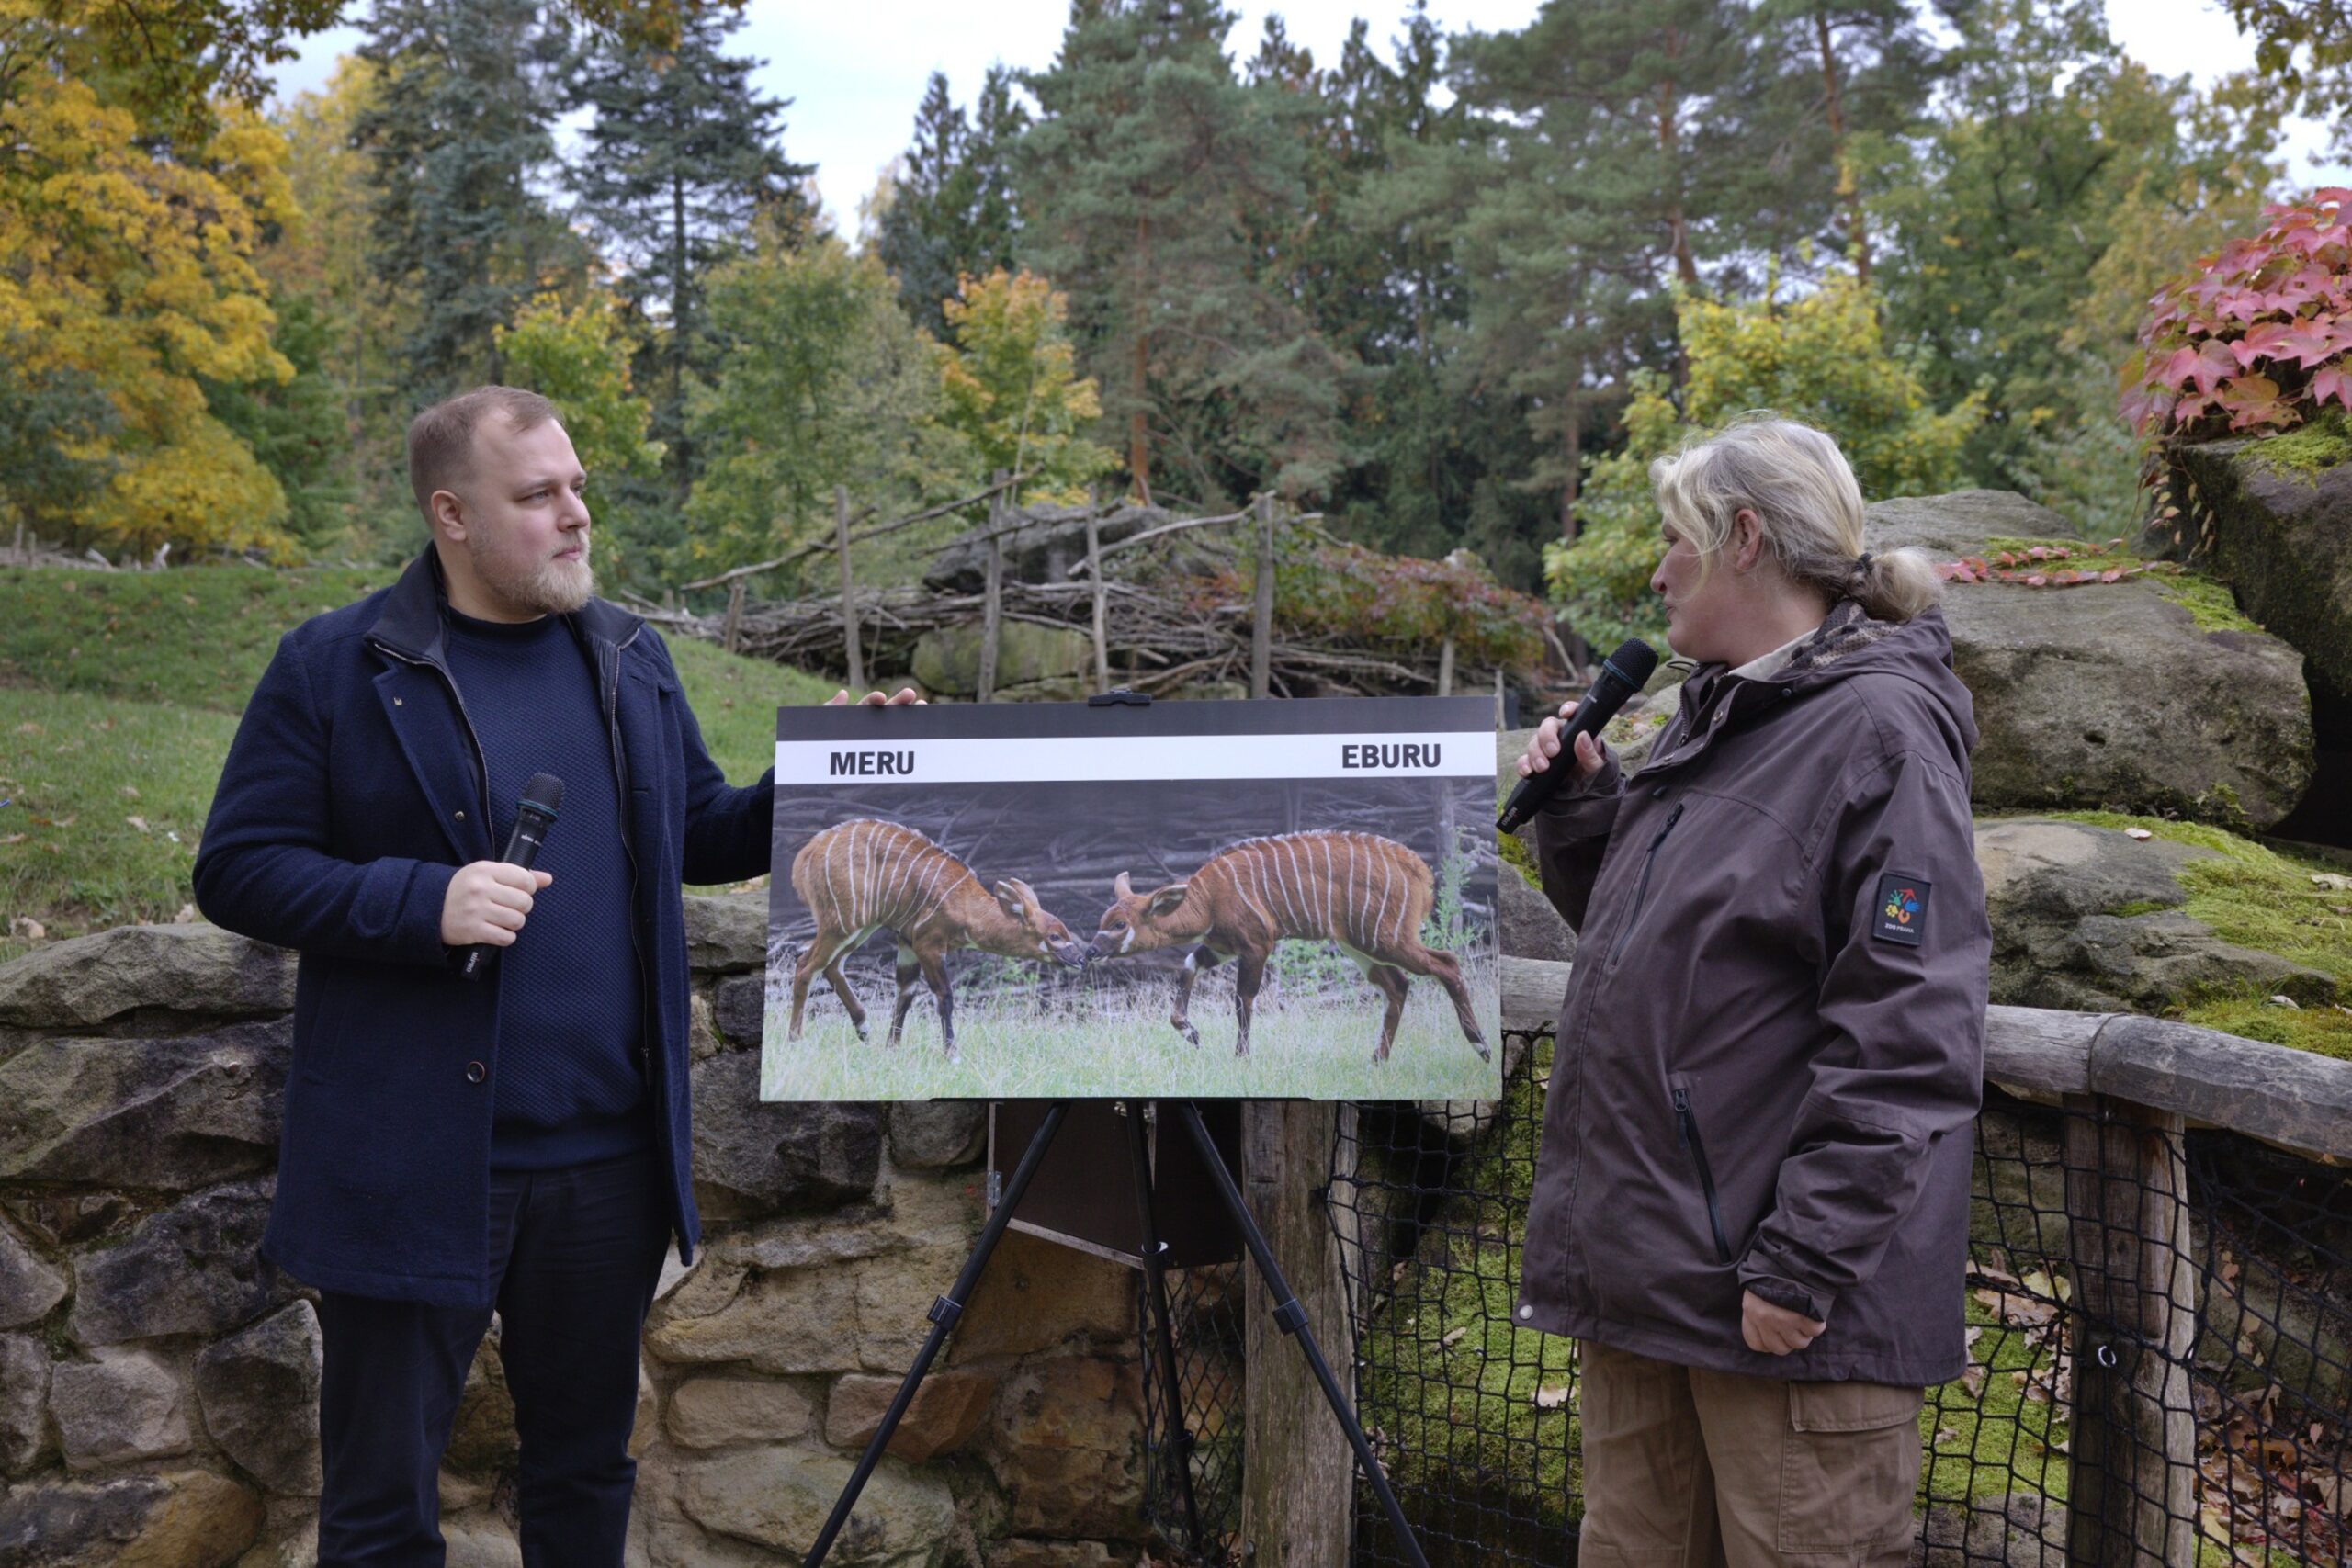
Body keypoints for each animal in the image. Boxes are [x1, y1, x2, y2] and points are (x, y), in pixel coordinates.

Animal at [787, 818, 1091, 1061]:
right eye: (1054, 936)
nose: (1080, 959)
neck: (965, 903)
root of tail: (805, 855)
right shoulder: (928, 944)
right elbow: (944, 996)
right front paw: (952, 1055)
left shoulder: (907, 943)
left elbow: (906, 992)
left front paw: (892, 1048)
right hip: (841, 921)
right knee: (806, 965)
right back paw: (795, 1039)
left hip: (861, 926)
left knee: (831, 965)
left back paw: (863, 1028)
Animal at [1089, 831, 1489, 1065]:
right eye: (1104, 919)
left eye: (1119, 924)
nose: (1089, 953)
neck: (1208, 899)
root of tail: (1420, 873)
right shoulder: (1219, 948)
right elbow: (1188, 966)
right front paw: (1193, 1034)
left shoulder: (1257, 944)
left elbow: (1243, 998)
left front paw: (1241, 1058)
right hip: (1359, 944)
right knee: (1398, 985)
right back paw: (1377, 1060)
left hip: (1386, 938)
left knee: (1446, 964)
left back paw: (1482, 1049)